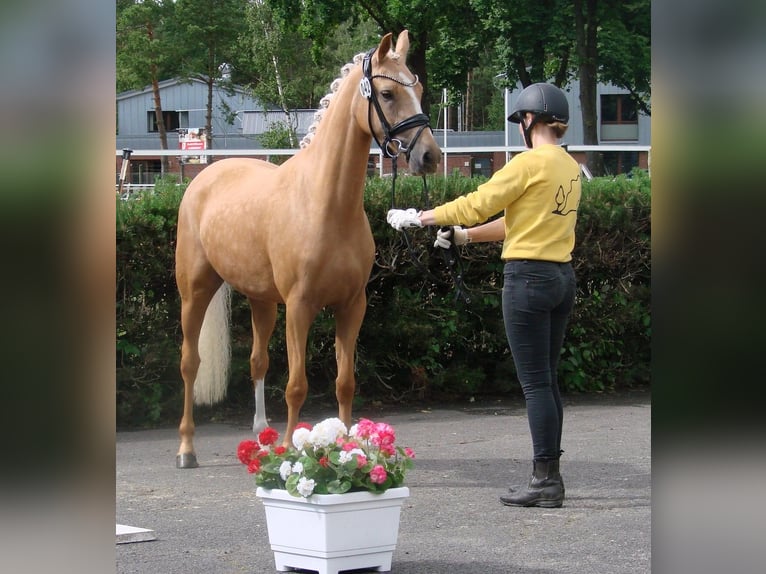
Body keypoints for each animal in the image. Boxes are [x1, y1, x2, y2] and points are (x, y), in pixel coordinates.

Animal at [172, 30, 440, 468]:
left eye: (417, 90)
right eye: (386, 93)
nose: (429, 156)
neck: (326, 204)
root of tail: (204, 177)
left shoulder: (352, 306)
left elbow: (345, 382)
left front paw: (349, 448)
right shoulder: (300, 307)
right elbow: (296, 385)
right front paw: (290, 452)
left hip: (262, 301)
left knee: (257, 361)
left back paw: (262, 438)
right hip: (195, 292)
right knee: (189, 364)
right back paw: (187, 449)